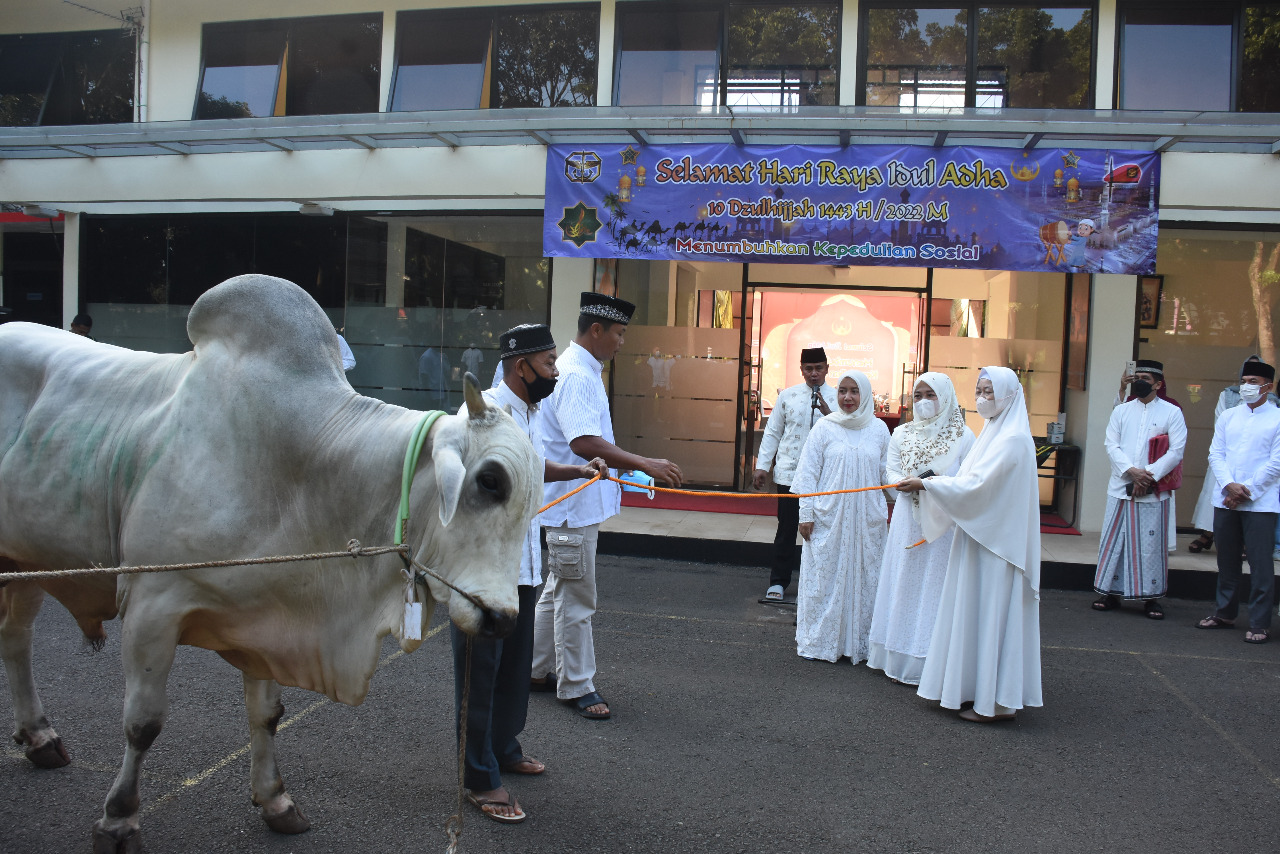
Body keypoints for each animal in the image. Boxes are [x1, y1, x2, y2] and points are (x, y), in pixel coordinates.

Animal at [0, 277, 542, 850]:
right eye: (489, 480)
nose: (501, 619)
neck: (306, 466)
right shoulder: (153, 604)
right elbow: (142, 723)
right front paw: (119, 818)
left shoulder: (270, 615)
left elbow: (268, 714)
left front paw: (276, 800)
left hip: (27, 561)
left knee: (15, 638)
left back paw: (39, 737)